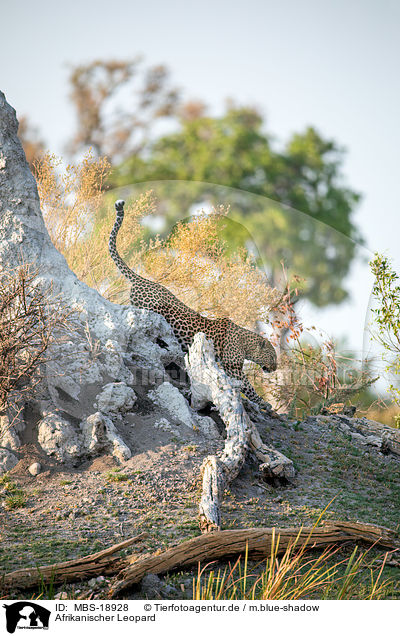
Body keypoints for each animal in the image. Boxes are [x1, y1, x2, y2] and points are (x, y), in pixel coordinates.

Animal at [109, 200, 278, 408]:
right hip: (148, 309)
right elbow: (248, 387)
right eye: (272, 356)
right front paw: (265, 404)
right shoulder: (233, 368)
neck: (246, 344)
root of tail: (142, 280)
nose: (275, 368)